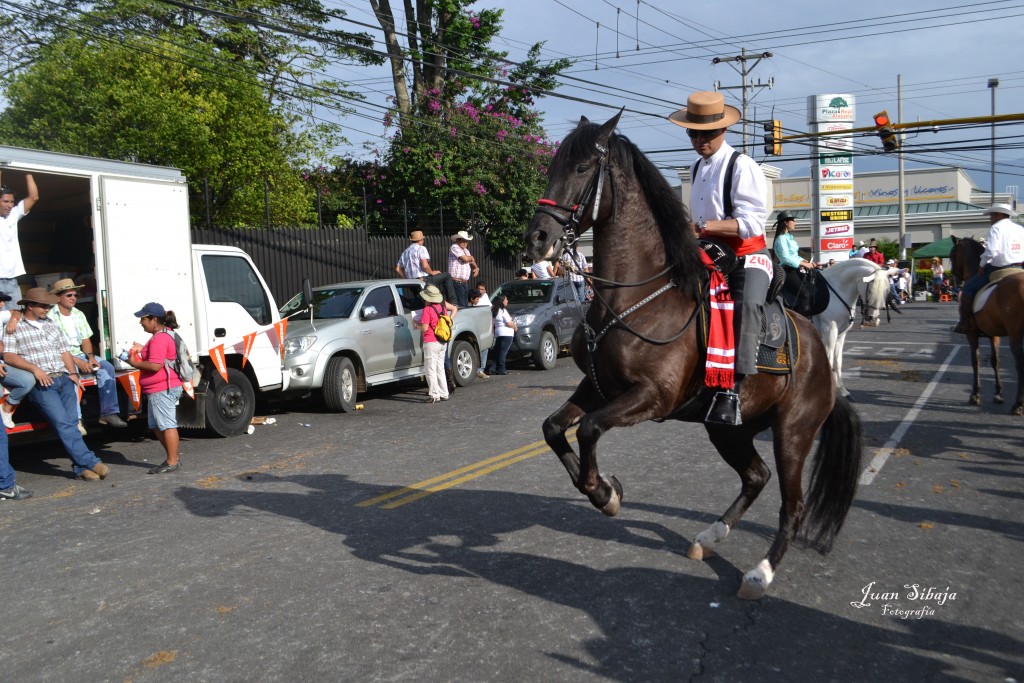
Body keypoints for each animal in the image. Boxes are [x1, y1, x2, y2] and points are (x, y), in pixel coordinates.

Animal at [524, 114, 860, 602]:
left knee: (792, 506)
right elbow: (553, 429)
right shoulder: (598, 387)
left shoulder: (652, 397)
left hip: (792, 434)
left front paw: (604, 492)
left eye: (584, 167)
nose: (537, 238)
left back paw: (760, 573)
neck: (637, 295)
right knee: (755, 476)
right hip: (728, 429)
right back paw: (710, 536)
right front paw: (606, 490)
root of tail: (820, 357)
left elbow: (587, 429)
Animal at [815, 258, 897, 397]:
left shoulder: (840, 335)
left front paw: (842, 390)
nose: (872, 317)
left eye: (886, 290)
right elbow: (829, 360)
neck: (835, 292)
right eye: (870, 290)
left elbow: (838, 362)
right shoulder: (829, 332)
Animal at [942, 237, 1024, 413]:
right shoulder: (994, 334)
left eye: (952, 254)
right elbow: (995, 361)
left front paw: (975, 394)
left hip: (1015, 334)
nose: (954, 280)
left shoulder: (971, 333)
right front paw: (998, 393)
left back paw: (1018, 404)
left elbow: (975, 361)